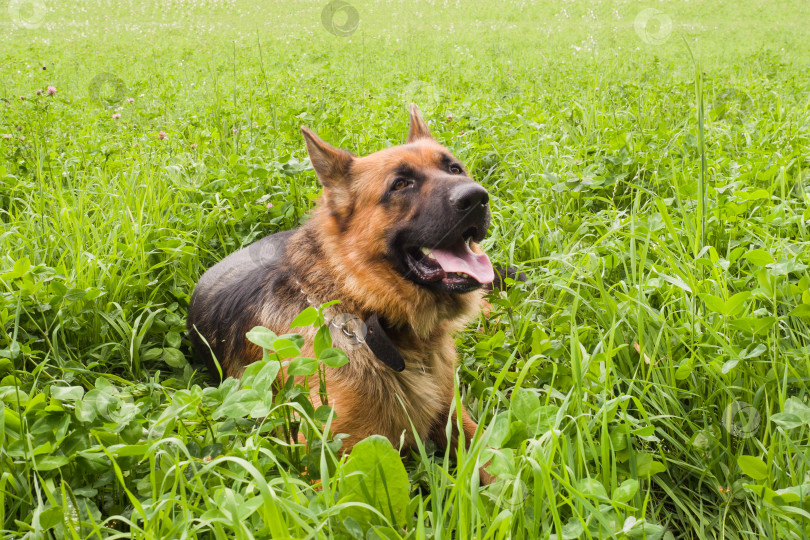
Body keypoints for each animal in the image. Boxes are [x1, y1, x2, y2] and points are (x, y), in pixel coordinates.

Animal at [189, 104, 496, 480]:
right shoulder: (329, 465)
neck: (365, 313)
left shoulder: (453, 414)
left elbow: (494, 461)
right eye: (400, 184)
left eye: (455, 168)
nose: (477, 197)